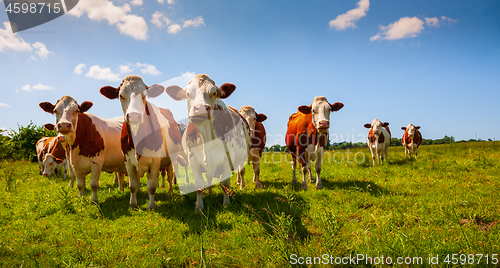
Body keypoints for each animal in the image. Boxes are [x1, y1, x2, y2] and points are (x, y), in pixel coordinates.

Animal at [98, 74, 183, 210]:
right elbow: (133, 185)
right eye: (121, 95)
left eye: (144, 95)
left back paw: (170, 192)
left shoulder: (155, 161)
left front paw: (151, 206)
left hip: (170, 159)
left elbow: (152, 186)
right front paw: (132, 204)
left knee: (170, 175)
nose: (133, 116)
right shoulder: (128, 160)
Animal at [165, 73, 252, 211]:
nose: (200, 108)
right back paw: (210, 194)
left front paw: (226, 204)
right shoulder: (192, 158)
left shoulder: (228, 157)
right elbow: (199, 185)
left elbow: (225, 183)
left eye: (214, 92)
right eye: (187, 94)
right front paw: (199, 207)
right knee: (209, 177)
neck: (206, 137)